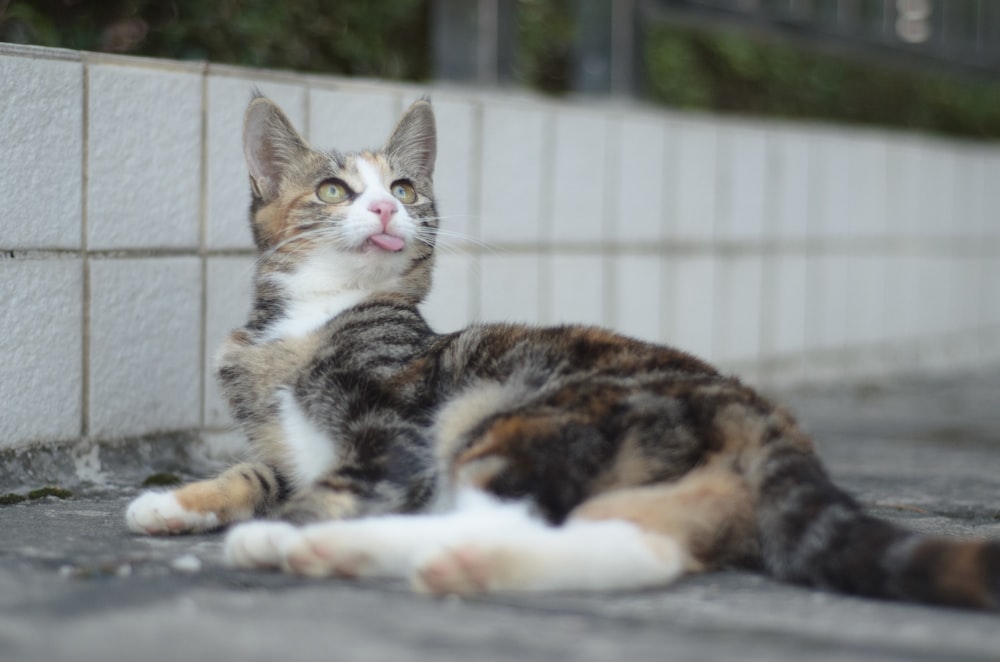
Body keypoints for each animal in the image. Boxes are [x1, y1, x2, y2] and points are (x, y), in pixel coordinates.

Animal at [127, 93, 1000, 612]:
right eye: (334, 190)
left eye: (405, 188)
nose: (383, 208)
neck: (311, 319)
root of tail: (764, 413)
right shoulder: (287, 443)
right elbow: (261, 470)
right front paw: (177, 501)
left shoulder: (397, 426)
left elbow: (340, 479)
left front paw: (281, 524)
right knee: (635, 545)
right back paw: (447, 565)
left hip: (520, 414)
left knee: (502, 508)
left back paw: (326, 547)